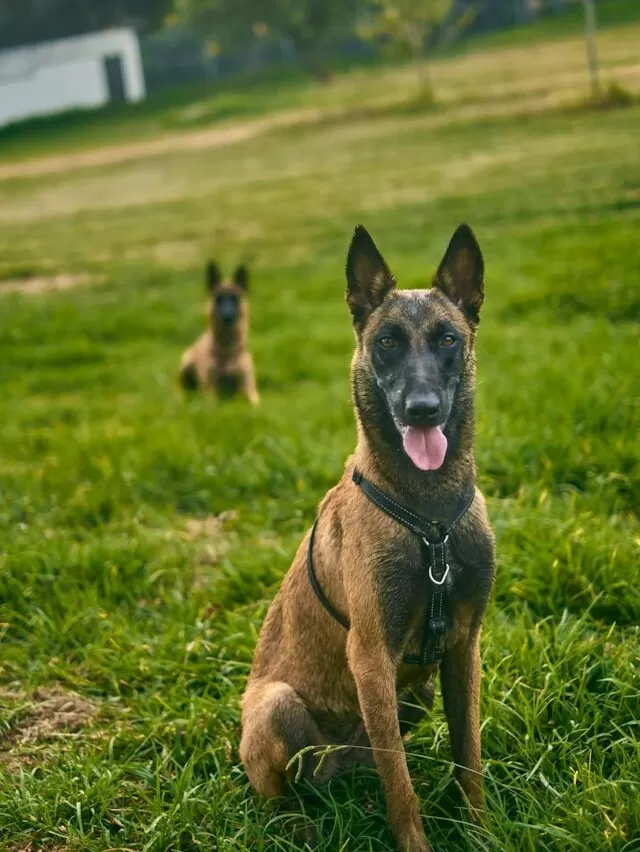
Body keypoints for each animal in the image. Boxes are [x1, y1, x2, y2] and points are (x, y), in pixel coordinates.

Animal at [239, 223, 496, 848]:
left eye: (448, 339)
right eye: (386, 343)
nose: (422, 410)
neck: (430, 517)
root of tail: (337, 770)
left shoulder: (464, 647)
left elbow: (469, 756)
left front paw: (479, 830)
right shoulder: (373, 658)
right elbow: (401, 789)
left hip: (415, 694)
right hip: (278, 706)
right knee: (278, 795)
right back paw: (295, 823)